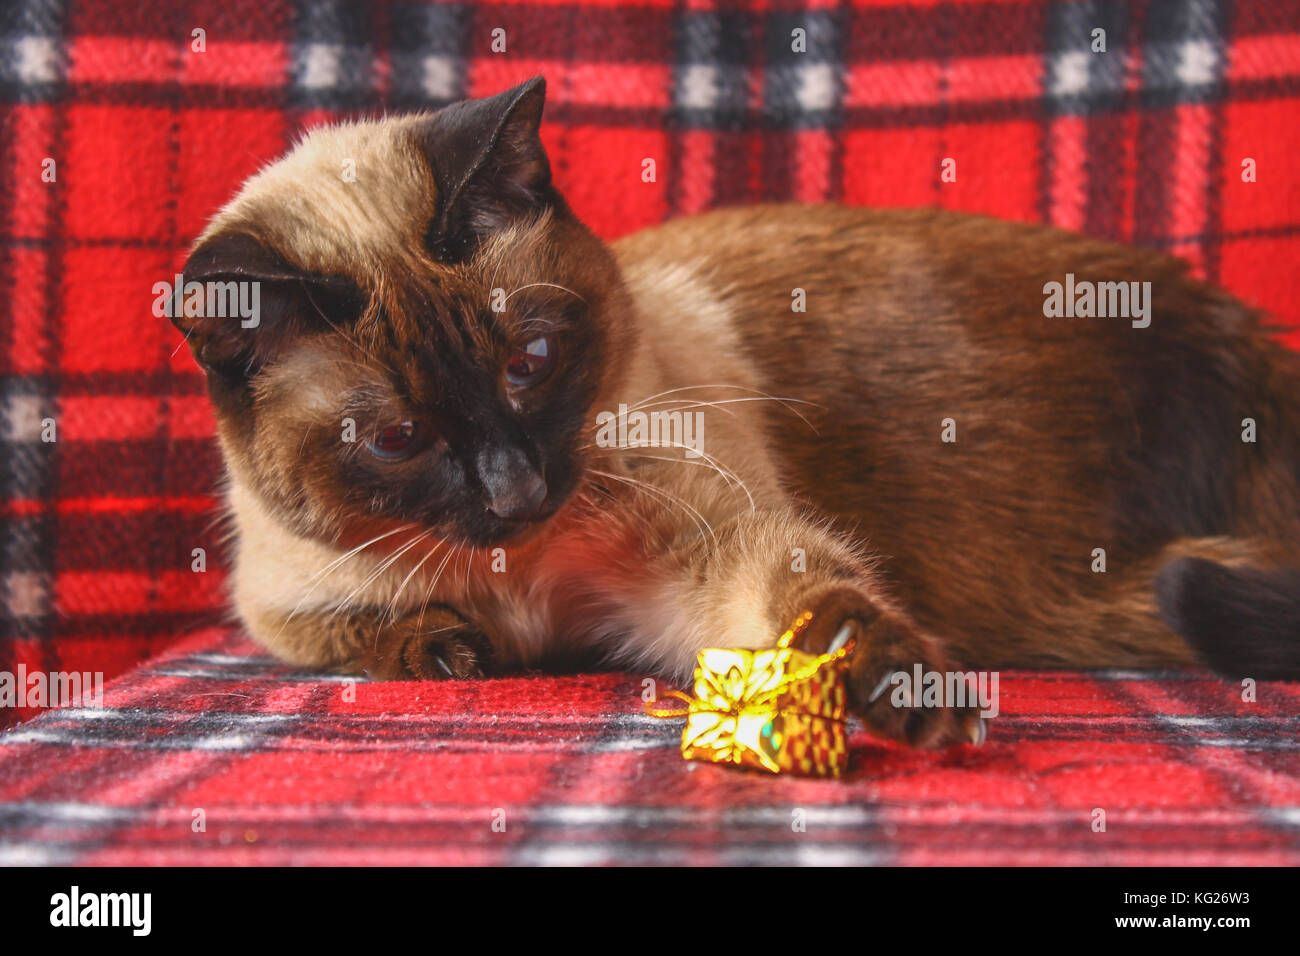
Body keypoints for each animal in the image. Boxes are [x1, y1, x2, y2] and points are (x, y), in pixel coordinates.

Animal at [167, 76, 1294, 749]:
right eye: (397, 438)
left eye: (531, 361)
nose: (518, 490)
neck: (521, 582)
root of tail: (1252, 345)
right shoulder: (284, 599)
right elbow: (364, 634)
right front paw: (444, 650)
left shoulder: (703, 560)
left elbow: (820, 608)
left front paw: (900, 693)